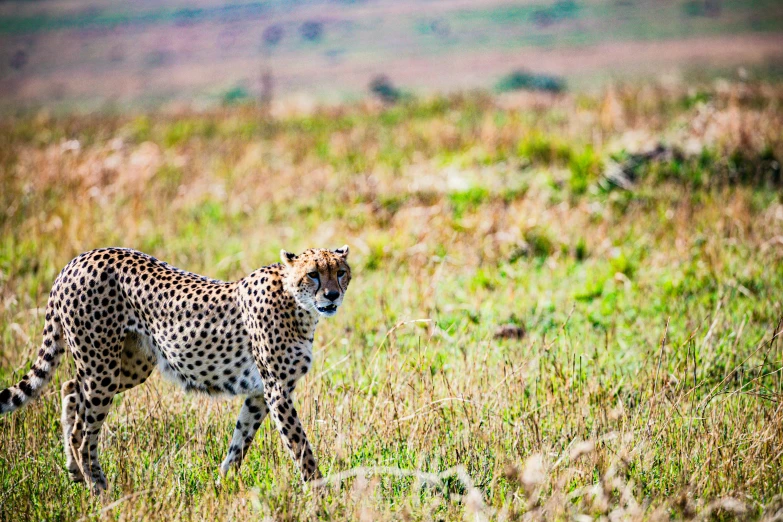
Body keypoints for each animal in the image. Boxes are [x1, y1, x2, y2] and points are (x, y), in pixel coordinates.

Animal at [0, 245, 350, 492]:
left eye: (341, 272)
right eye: (313, 274)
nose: (333, 295)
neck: (298, 305)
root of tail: (77, 260)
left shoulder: (259, 394)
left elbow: (240, 442)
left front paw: (222, 485)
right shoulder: (276, 390)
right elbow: (300, 445)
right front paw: (320, 493)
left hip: (128, 365)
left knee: (70, 389)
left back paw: (75, 473)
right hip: (102, 367)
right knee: (85, 434)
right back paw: (99, 490)